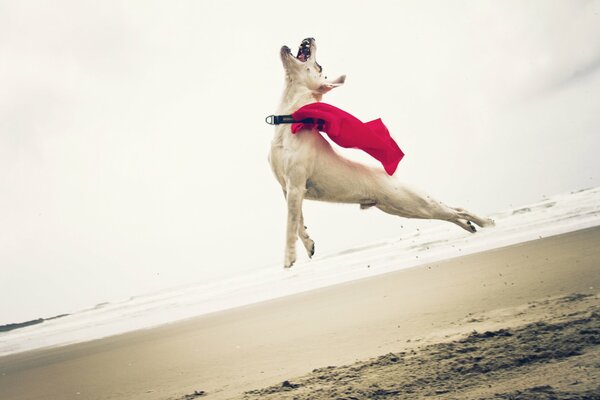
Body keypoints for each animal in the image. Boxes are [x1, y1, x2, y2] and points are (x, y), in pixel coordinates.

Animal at [270, 38, 494, 268]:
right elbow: (299, 222)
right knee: (451, 213)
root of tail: (393, 176)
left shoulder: (296, 185)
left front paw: (288, 261)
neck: (290, 121)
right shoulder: (288, 189)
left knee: (456, 209)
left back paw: (486, 222)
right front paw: (308, 243)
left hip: (415, 202)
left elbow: (290, 227)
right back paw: (470, 226)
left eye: (319, 67)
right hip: (402, 208)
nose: (311, 38)